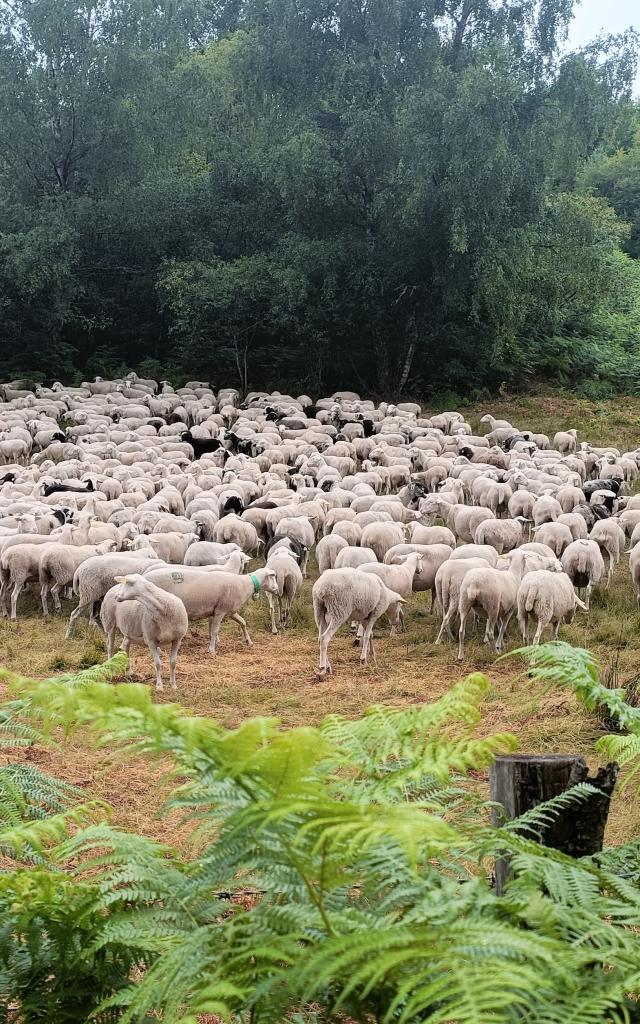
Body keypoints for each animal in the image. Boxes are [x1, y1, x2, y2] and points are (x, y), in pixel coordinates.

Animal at [142, 561, 276, 655]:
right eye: (273, 577)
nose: (277, 589)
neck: (246, 584)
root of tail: (144, 575)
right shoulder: (220, 611)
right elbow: (215, 631)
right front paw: (212, 650)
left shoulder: (228, 611)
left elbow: (242, 622)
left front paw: (249, 641)